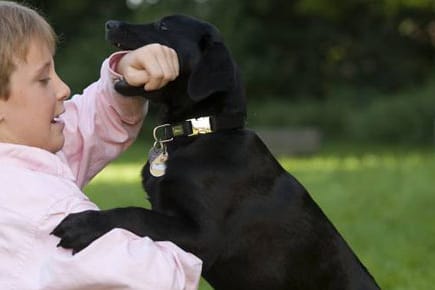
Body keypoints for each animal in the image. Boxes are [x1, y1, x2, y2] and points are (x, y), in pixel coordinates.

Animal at [53, 14, 382, 288]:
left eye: (164, 26)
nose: (110, 23)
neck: (201, 132)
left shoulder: (202, 236)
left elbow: (135, 214)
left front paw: (83, 224)